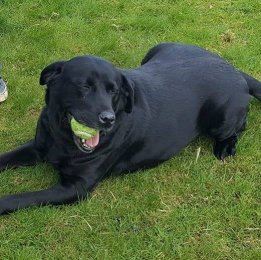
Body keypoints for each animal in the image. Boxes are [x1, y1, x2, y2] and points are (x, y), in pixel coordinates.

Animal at [0, 42, 260, 214]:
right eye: (84, 86)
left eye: (113, 91)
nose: (108, 119)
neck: (62, 137)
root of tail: (234, 69)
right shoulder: (37, 148)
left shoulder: (75, 187)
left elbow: (25, 197)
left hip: (221, 117)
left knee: (239, 128)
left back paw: (225, 147)